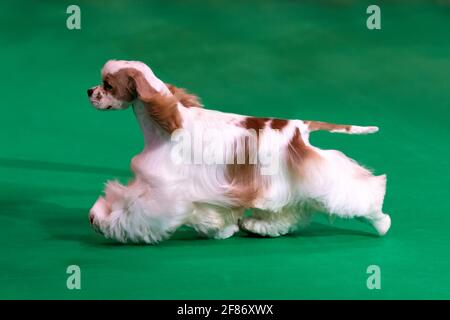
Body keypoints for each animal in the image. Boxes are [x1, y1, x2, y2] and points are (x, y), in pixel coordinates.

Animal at [88, 60, 390, 244]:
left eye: (108, 85)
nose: (89, 90)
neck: (166, 125)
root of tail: (299, 127)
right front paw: (222, 229)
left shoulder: (163, 187)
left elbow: (135, 209)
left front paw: (104, 220)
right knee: (285, 213)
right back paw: (256, 226)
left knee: (360, 194)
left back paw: (382, 222)